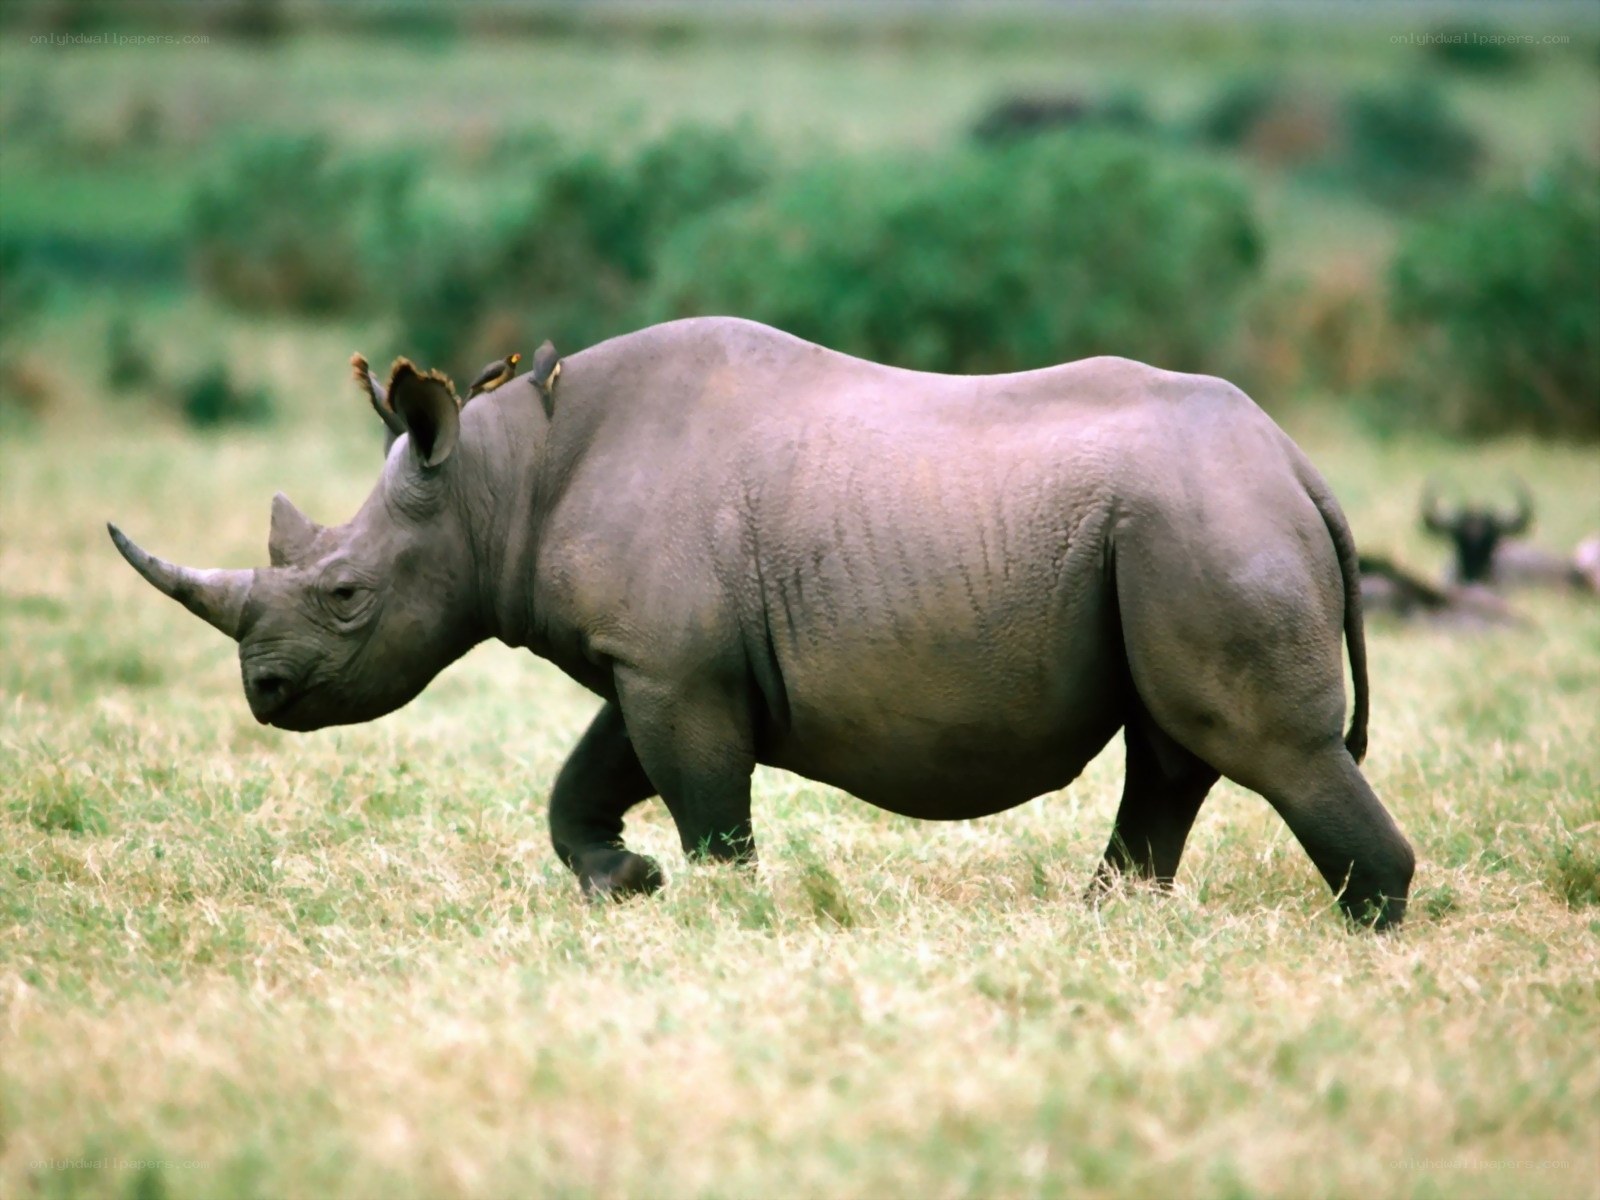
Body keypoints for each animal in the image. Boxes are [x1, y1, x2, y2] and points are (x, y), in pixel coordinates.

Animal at [109, 318, 1415, 927]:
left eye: (344, 595)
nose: (264, 694)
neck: (497, 484)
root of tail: (1300, 466)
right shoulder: (657, 659)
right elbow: (585, 780)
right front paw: (627, 882)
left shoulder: (674, 668)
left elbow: (706, 804)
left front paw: (725, 907)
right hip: (1179, 523)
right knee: (1174, 747)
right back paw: (1107, 921)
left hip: (1204, 520)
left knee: (1265, 746)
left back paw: (1365, 932)